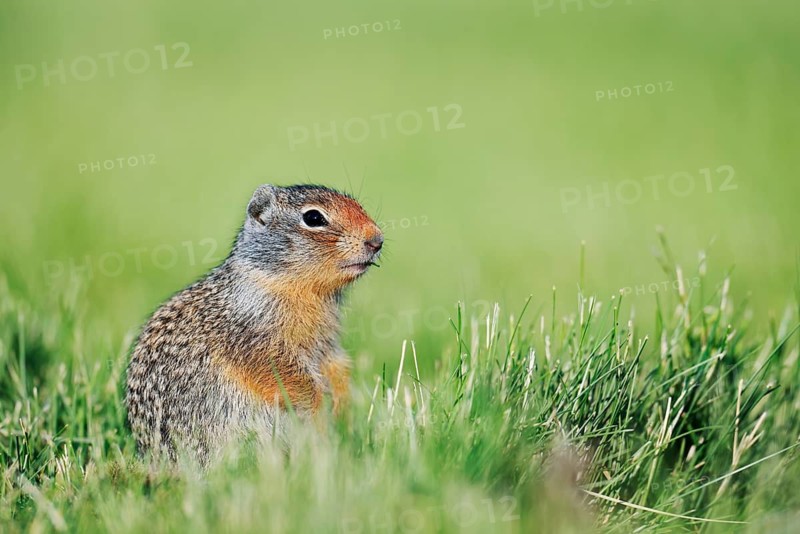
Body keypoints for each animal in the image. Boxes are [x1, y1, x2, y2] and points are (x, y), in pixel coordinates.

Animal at [125, 184, 383, 464]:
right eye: (314, 218)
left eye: (359, 205)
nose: (377, 240)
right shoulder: (257, 339)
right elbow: (292, 378)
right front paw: (321, 411)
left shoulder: (327, 343)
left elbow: (337, 366)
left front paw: (343, 406)